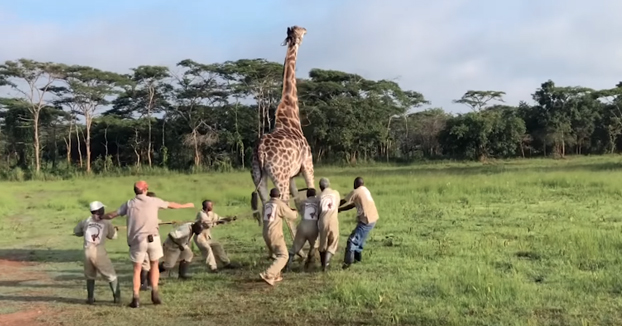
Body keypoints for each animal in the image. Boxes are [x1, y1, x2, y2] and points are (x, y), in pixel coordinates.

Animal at [250, 25, 314, 238]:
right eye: (302, 31)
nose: (306, 31)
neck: (290, 115)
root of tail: (260, 150)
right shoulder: (307, 164)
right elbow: (313, 193)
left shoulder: (293, 175)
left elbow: (300, 201)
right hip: (280, 176)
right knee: (283, 204)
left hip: (258, 176)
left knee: (265, 204)